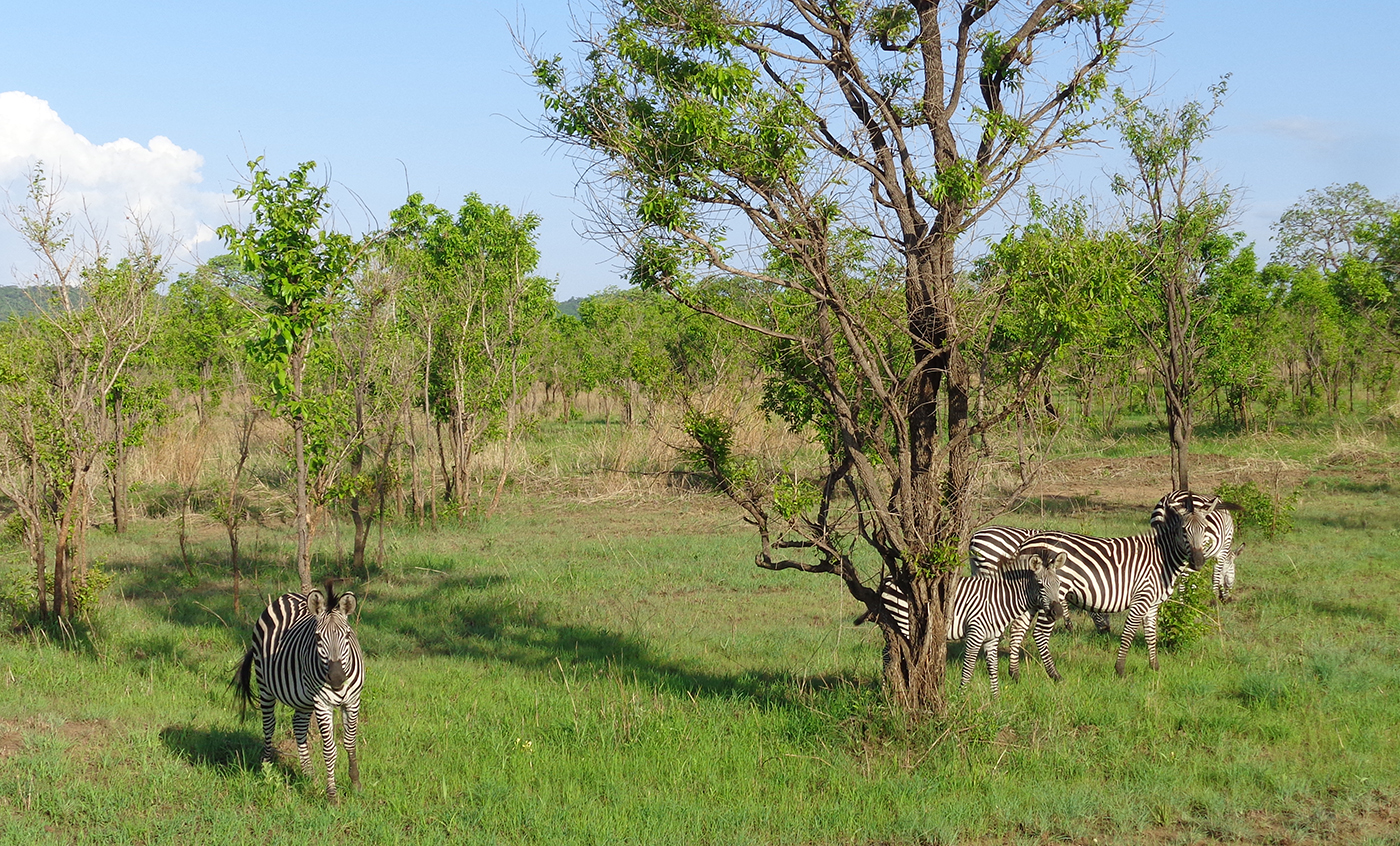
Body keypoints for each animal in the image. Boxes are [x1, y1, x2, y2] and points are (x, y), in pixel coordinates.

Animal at [235, 582, 364, 802]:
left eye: (347, 635)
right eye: (318, 637)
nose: (337, 678)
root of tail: (285, 597)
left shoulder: (352, 701)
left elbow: (350, 742)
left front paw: (355, 783)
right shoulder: (322, 704)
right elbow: (330, 750)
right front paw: (332, 795)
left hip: (303, 698)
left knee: (299, 725)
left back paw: (309, 775)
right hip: (265, 685)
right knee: (269, 725)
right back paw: (266, 769)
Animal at [860, 550, 1066, 696]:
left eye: (1058, 584)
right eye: (1040, 585)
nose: (1057, 612)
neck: (1000, 599)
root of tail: (888, 579)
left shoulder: (991, 639)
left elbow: (993, 669)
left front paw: (995, 700)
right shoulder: (975, 634)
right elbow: (968, 667)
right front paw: (961, 697)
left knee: (887, 653)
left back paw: (887, 689)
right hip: (903, 622)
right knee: (889, 654)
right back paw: (888, 690)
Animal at [1007, 497, 1216, 677]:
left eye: (1205, 530)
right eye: (1184, 530)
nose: (1198, 563)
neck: (1162, 557)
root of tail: (1026, 543)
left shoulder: (1153, 603)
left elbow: (1151, 635)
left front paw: (1155, 668)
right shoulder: (1141, 597)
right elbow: (1129, 633)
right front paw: (1120, 669)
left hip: (1033, 596)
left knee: (1017, 628)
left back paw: (1014, 673)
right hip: (1052, 597)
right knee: (1040, 633)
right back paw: (1054, 674)